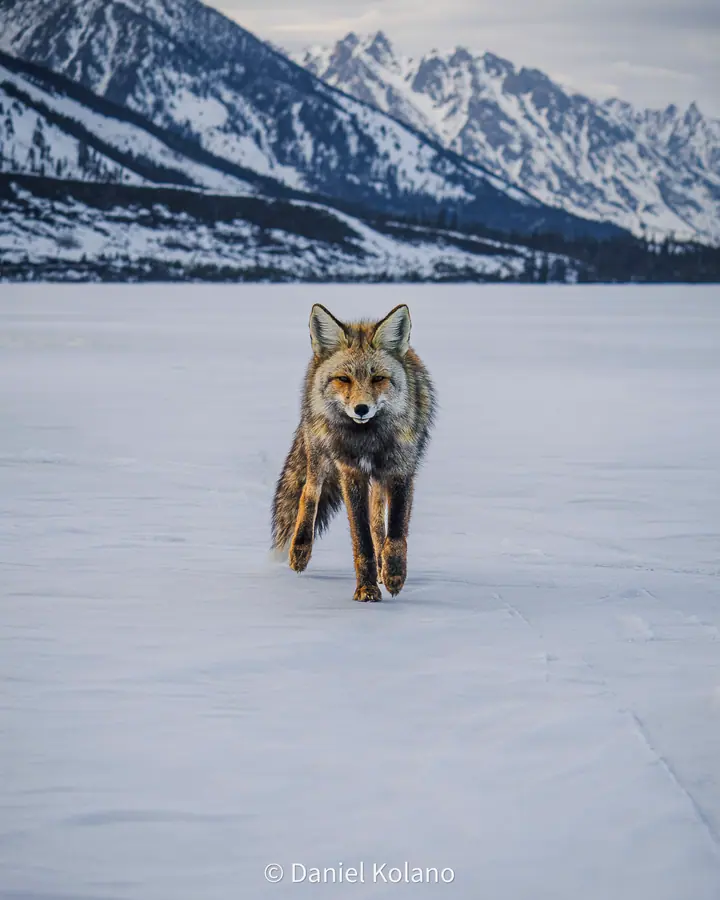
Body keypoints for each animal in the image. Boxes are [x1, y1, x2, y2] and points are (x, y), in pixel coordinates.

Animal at [271, 303, 436, 602]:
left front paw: (393, 574)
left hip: (380, 479)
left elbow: (395, 532)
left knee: (378, 518)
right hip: (319, 453)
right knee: (309, 492)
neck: (368, 439)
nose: (361, 409)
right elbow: (362, 541)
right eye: (343, 379)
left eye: (378, 378)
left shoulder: (400, 470)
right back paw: (300, 550)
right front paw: (367, 589)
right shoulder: (351, 473)